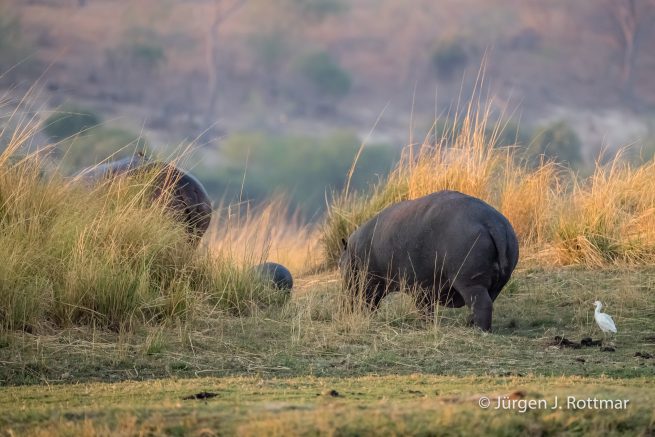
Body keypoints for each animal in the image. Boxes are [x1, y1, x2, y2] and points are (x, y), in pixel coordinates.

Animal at [339, 190, 519, 332]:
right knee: (486, 301)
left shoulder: (407, 285)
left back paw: (478, 330)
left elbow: (422, 308)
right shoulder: (424, 286)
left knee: (482, 304)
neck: (352, 251)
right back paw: (469, 324)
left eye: (340, 265)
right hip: (496, 283)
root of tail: (493, 222)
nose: (344, 309)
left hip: (470, 282)